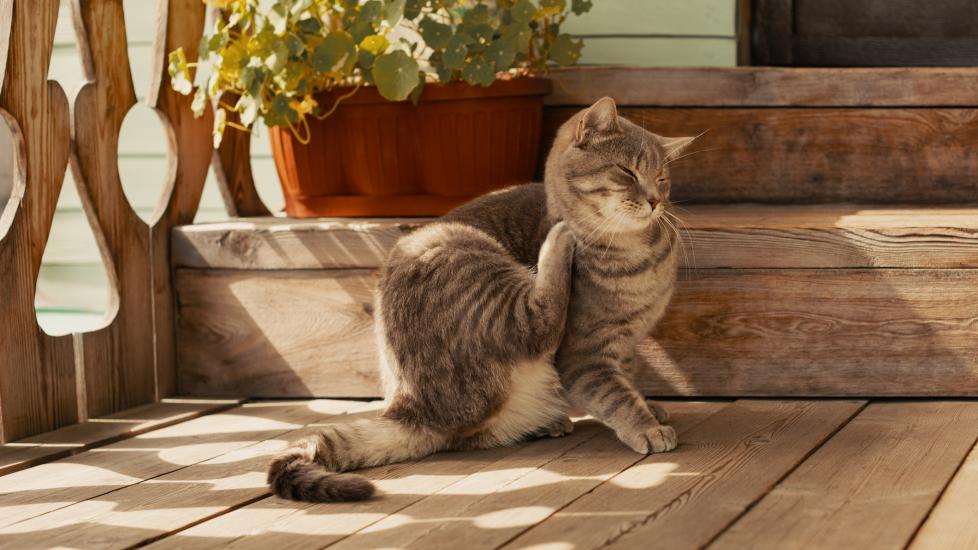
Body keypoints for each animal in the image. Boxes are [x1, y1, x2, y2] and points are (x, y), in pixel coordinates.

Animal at [266, 96, 692, 504]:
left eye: (662, 178)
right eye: (627, 172)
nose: (655, 201)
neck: (640, 254)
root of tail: (412, 408)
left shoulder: (625, 344)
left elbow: (627, 379)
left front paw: (649, 406)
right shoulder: (583, 355)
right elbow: (614, 394)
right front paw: (647, 427)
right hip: (459, 251)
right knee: (537, 321)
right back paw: (558, 241)